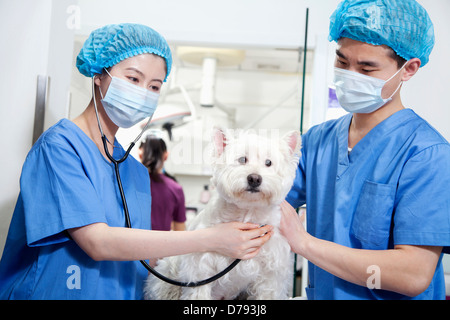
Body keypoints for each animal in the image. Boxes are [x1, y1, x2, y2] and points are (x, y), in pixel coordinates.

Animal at [146, 128, 300, 300]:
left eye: (268, 163)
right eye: (242, 159)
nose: (254, 178)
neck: (247, 212)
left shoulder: (271, 276)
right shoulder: (200, 271)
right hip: (168, 275)